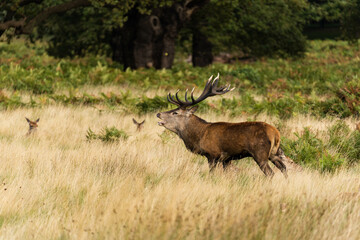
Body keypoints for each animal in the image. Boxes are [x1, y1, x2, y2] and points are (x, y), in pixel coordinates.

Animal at [156, 74, 288, 177]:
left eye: (175, 112)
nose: (158, 114)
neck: (199, 136)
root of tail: (276, 133)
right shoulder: (227, 159)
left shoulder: (212, 154)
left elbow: (211, 173)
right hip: (275, 152)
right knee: (284, 168)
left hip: (260, 153)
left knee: (271, 173)